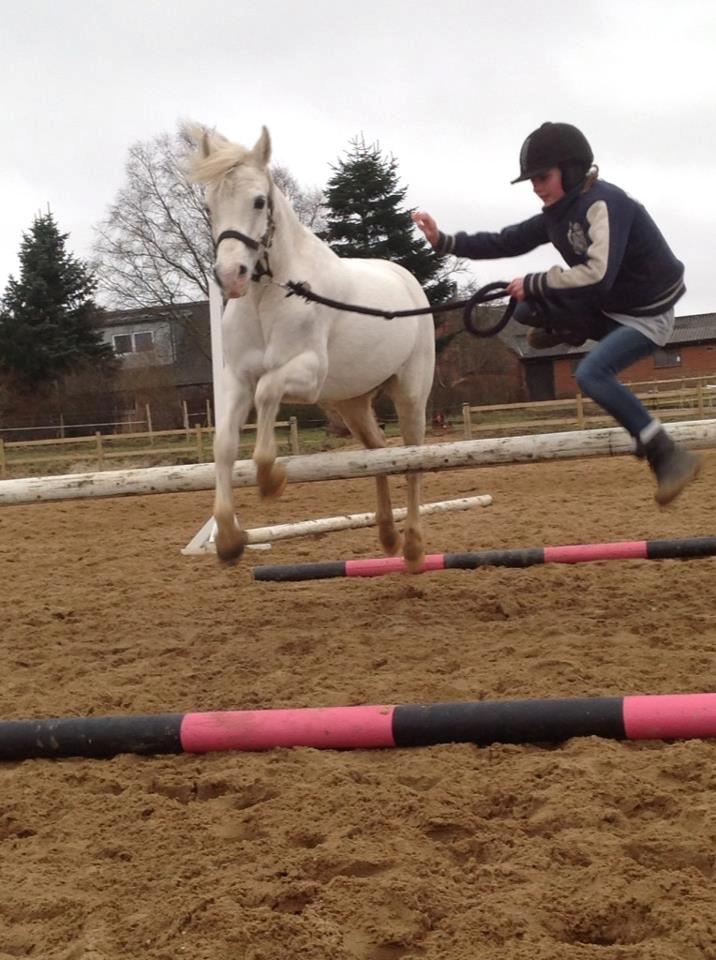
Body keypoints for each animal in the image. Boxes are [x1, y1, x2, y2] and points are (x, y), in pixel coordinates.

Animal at [186, 125, 435, 572]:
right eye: (211, 204)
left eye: (259, 200)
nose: (231, 276)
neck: (272, 295)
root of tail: (406, 279)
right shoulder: (236, 379)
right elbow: (224, 444)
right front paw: (229, 539)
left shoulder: (308, 374)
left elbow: (268, 391)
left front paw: (270, 478)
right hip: (352, 402)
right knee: (378, 452)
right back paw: (388, 536)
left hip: (410, 394)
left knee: (411, 459)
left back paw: (412, 548)